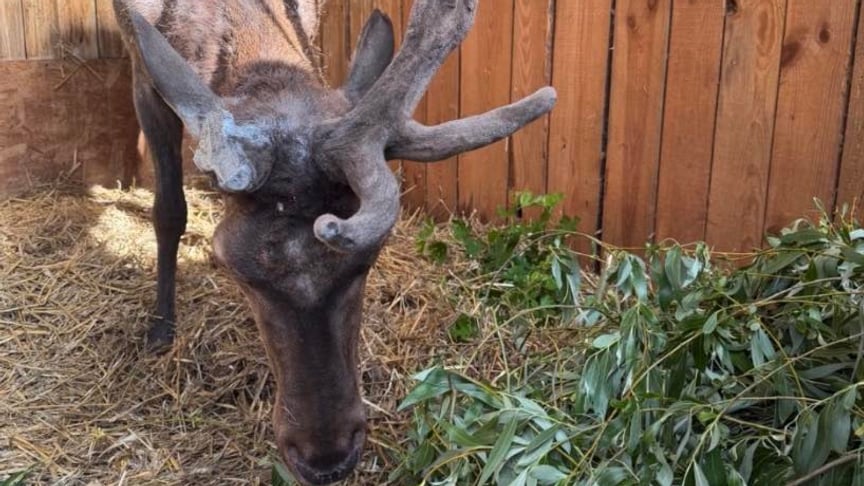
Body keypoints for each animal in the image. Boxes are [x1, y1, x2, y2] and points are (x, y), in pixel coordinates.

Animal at [112, 0, 556, 484]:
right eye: (234, 268)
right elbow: (169, 209)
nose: (327, 460)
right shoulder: (141, 71)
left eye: (368, 259)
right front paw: (160, 328)